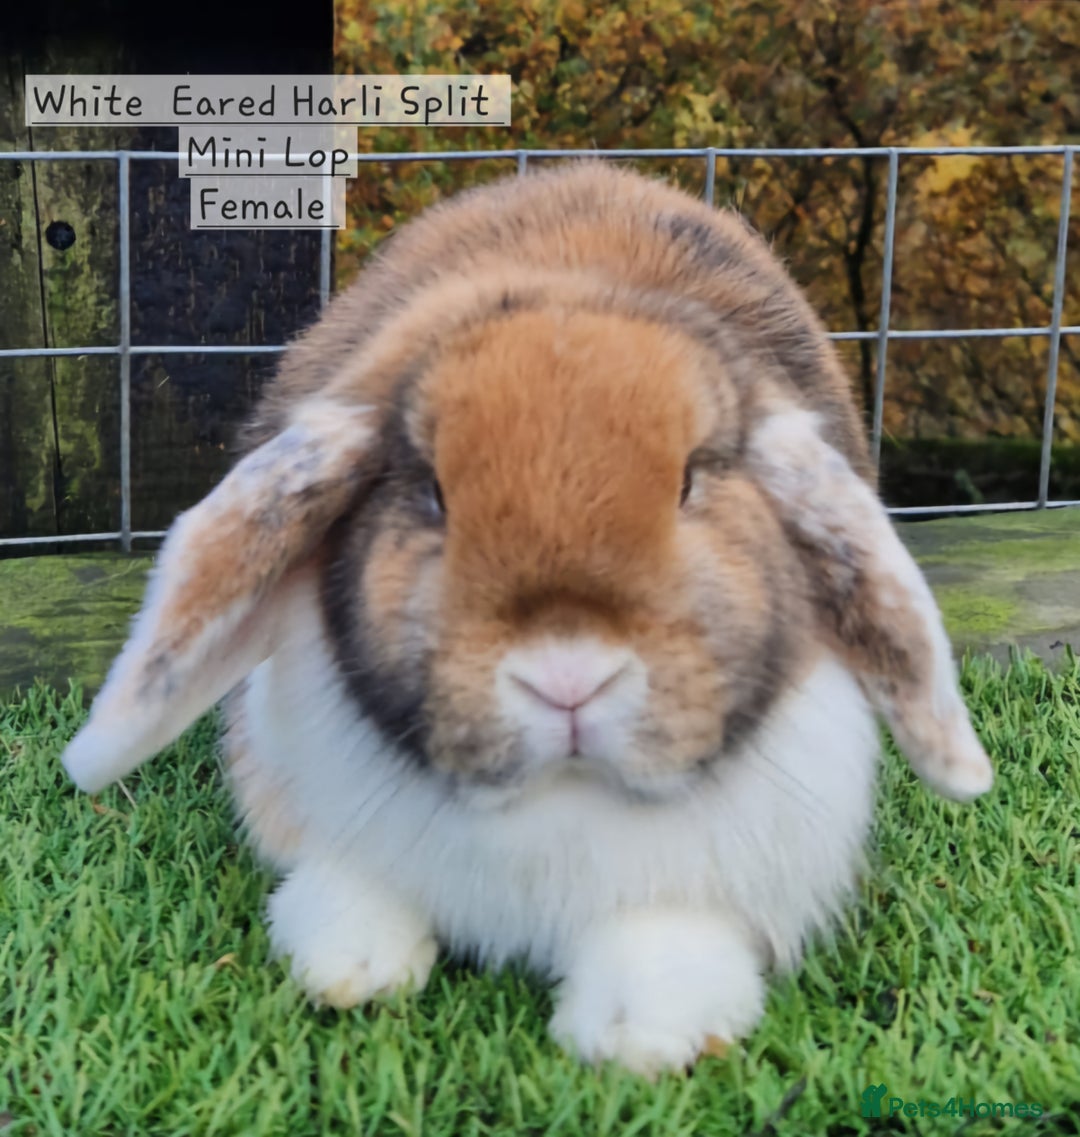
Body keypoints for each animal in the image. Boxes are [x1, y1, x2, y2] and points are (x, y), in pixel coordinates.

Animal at [61, 161, 993, 1077]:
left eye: (691, 481)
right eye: (433, 492)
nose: (568, 676)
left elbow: (665, 941)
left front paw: (642, 1033)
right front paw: (350, 965)